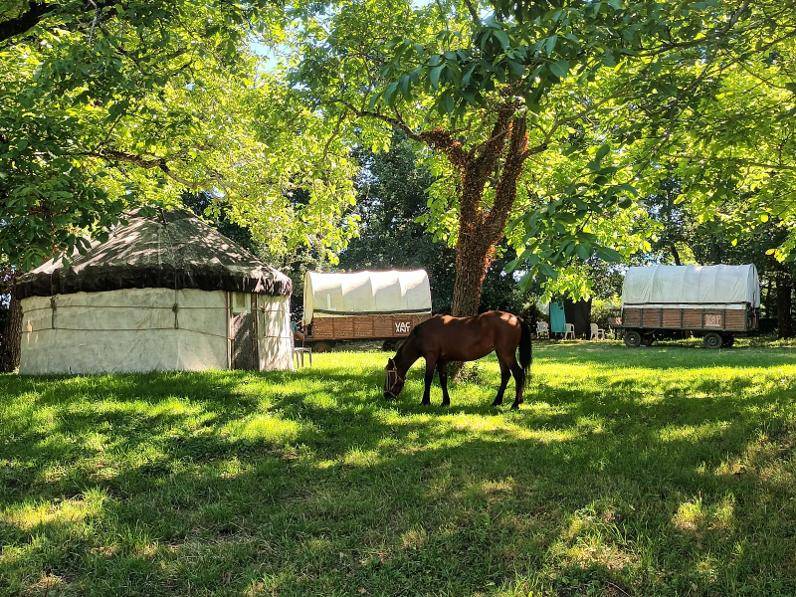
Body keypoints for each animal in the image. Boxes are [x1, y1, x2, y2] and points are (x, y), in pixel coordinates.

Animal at [384, 310, 532, 409]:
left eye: (389, 375)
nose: (386, 395)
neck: (421, 335)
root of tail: (515, 318)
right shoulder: (442, 361)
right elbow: (443, 380)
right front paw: (445, 402)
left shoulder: (431, 358)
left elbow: (428, 379)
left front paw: (425, 401)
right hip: (501, 354)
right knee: (506, 375)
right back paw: (497, 402)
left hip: (507, 354)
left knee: (518, 374)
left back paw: (515, 404)